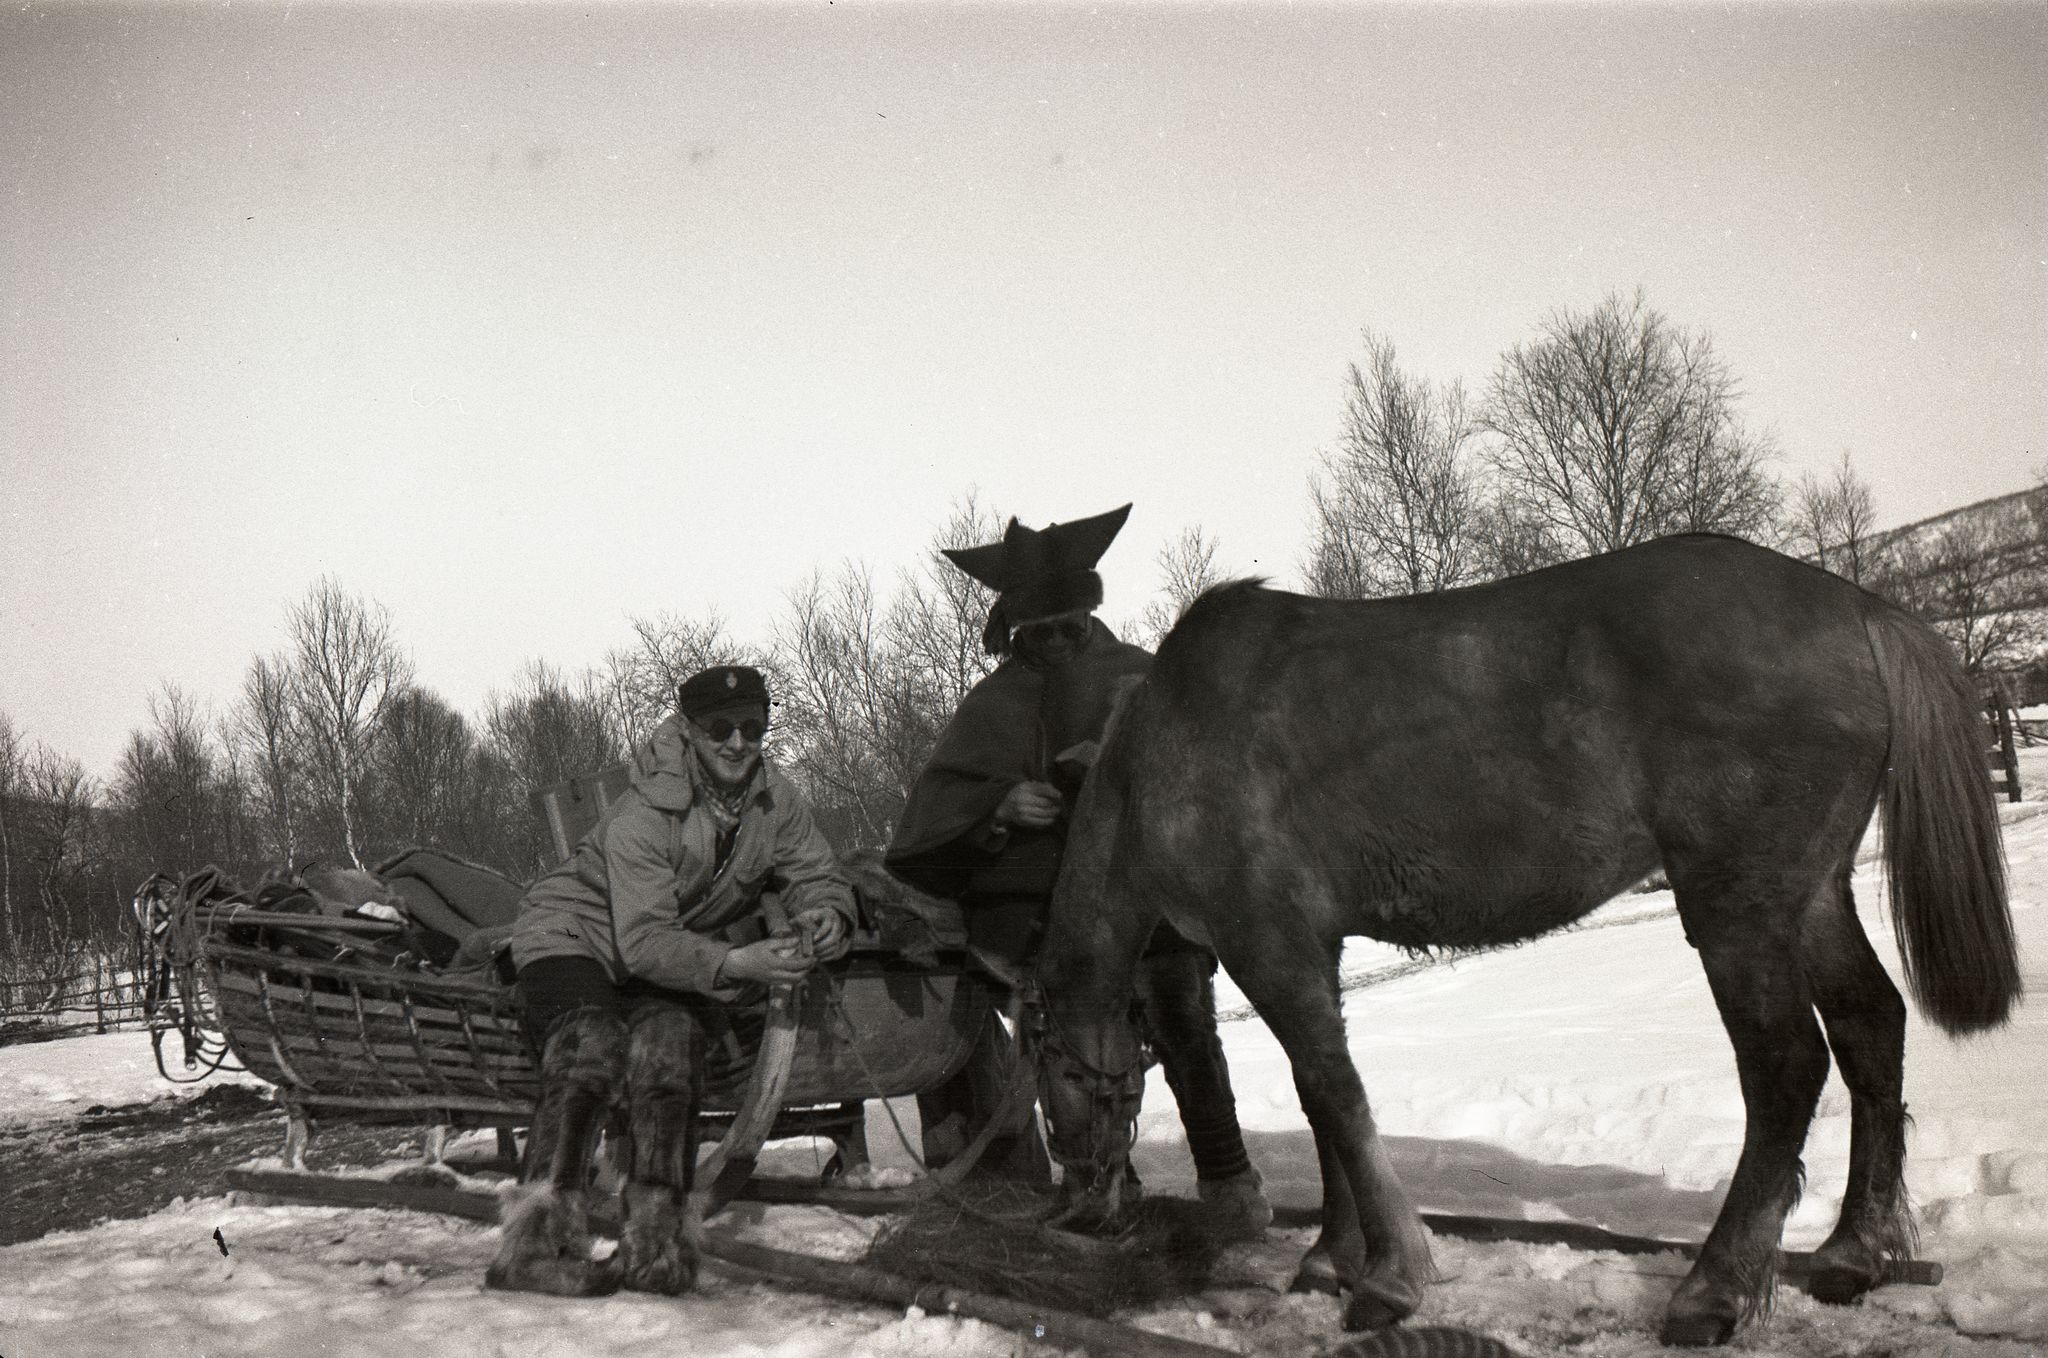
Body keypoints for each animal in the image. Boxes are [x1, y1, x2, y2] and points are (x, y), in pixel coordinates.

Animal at [1032, 532, 2023, 1351]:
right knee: (1869, 1026)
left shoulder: (1267, 945)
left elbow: (1335, 1095)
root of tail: (1858, 607)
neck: (1162, 747)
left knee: (1785, 1068)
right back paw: (1853, 1252)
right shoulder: (1314, 947)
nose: (1082, 1206)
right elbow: (1322, 1101)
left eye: (1052, 1089)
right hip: (1809, 894)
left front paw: (1388, 1278)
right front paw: (1331, 1257)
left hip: (1737, 909)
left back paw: (1713, 1290)